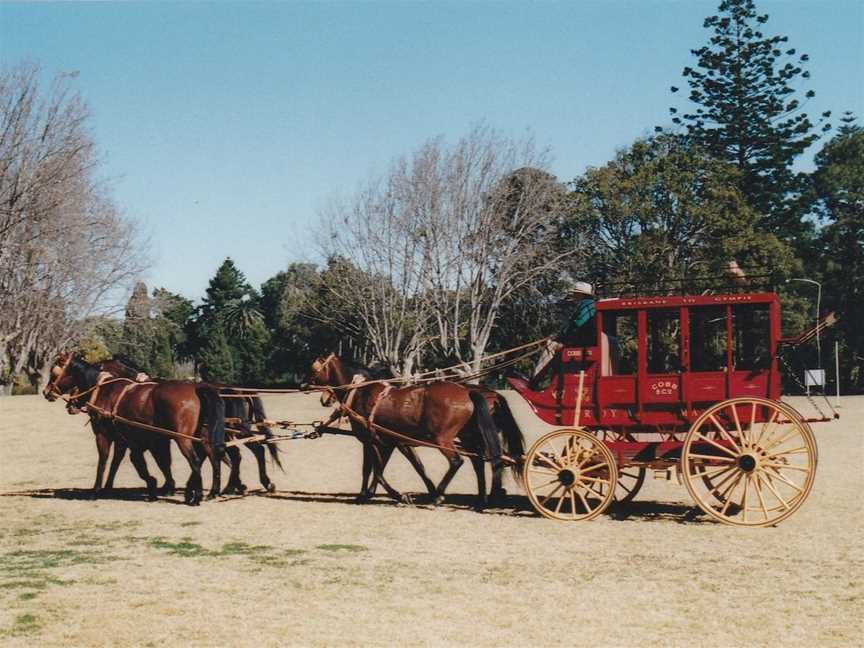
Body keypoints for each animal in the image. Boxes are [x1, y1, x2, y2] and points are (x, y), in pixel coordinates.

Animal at [44, 352, 224, 504]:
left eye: (54, 372)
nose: (46, 392)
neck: (105, 390)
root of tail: (196, 388)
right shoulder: (136, 441)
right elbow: (142, 462)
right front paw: (155, 486)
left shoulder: (104, 435)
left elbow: (104, 460)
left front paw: (97, 490)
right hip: (203, 437)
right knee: (213, 457)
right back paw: (207, 491)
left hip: (183, 439)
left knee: (195, 461)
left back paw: (196, 496)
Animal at [308, 352, 506, 508]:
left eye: (314, 369)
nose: (305, 385)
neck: (362, 392)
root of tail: (467, 393)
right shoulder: (389, 442)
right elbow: (396, 467)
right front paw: (368, 493)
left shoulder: (370, 441)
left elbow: (374, 470)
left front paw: (392, 495)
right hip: (467, 437)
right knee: (478, 461)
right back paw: (480, 500)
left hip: (443, 439)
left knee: (457, 461)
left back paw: (440, 495)